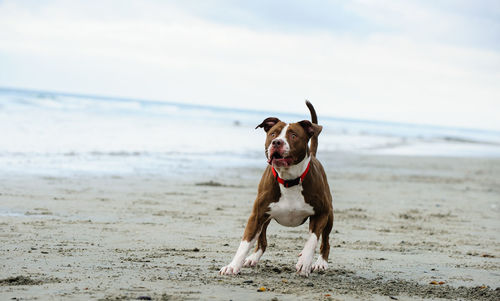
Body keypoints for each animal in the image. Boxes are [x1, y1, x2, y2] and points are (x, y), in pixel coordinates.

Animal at [220, 101, 334, 276]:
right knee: (262, 240)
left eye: (293, 135)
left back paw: (321, 262)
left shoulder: (321, 213)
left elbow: (313, 240)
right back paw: (253, 258)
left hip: (330, 216)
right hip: (265, 217)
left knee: (325, 241)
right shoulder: (257, 215)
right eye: (273, 134)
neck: (289, 179)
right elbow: (245, 243)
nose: (276, 143)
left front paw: (304, 263)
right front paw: (233, 266)